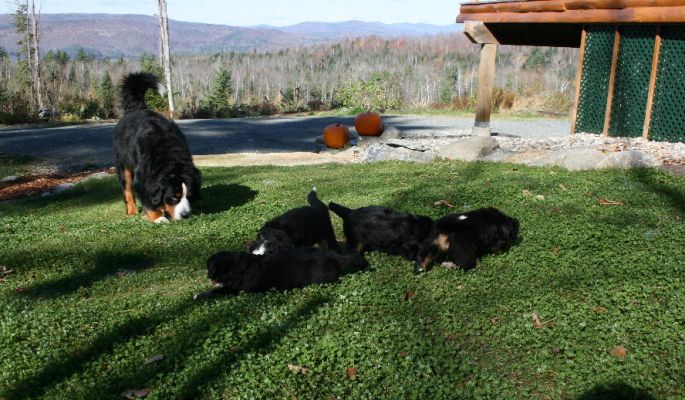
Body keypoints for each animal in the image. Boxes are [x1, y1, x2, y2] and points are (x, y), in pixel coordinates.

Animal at [113, 72, 200, 222]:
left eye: (189, 196)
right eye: (173, 198)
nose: (185, 215)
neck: (170, 156)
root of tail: (137, 109)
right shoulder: (142, 179)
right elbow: (148, 200)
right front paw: (158, 217)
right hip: (124, 165)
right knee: (127, 190)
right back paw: (132, 211)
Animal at [194, 248, 368, 298]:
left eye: (210, 268)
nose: (208, 276)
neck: (235, 266)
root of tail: (336, 257)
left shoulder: (236, 289)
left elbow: (218, 291)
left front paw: (201, 295)